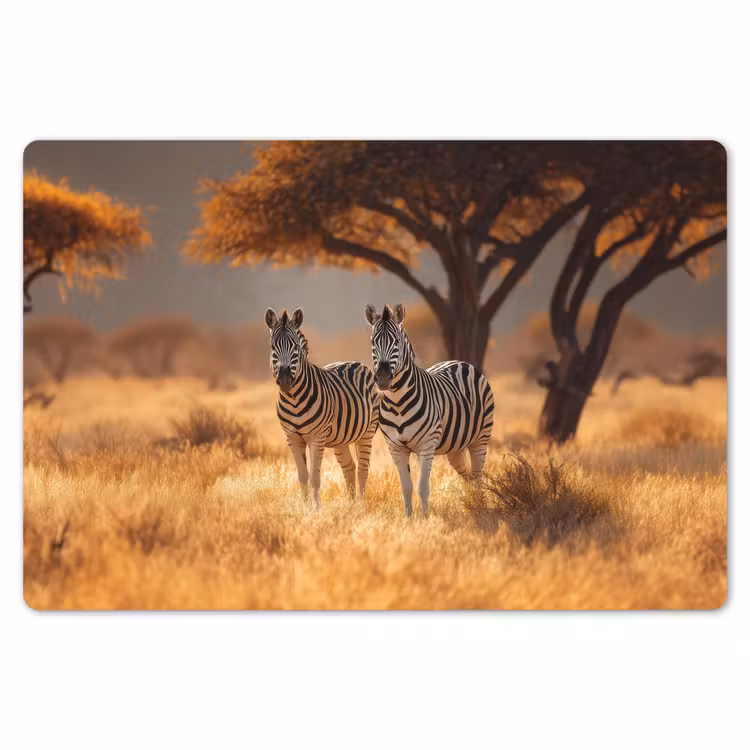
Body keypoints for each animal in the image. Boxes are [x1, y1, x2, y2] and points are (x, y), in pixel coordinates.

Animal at [265, 307, 380, 508]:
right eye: (273, 347)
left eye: (295, 347)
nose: (285, 380)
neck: (294, 399)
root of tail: (355, 362)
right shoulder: (292, 437)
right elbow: (302, 476)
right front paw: (304, 507)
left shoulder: (316, 437)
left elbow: (314, 478)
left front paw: (316, 509)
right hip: (341, 439)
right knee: (349, 467)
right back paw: (350, 505)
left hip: (367, 432)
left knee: (362, 470)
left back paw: (360, 505)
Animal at [364, 303, 494, 517]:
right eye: (373, 342)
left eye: (396, 341)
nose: (382, 378)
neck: (398, 403)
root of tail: (460, 362)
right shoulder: (396, 448)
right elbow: (406, 487)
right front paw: (409, 519)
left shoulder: (426, 445)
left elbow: (422, 487)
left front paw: (425, 519)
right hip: (455, 448)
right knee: (468, 476)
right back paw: (471, 504)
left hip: (480, 438)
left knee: (477, 477)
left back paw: (479, 507)